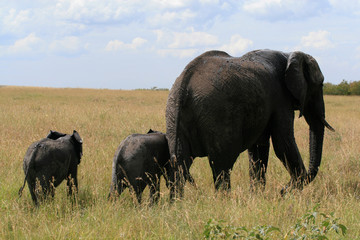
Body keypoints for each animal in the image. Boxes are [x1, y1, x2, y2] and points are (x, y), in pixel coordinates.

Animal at [166, 48, 334, 199]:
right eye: (320, 85)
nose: (282, 190)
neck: (288, 55)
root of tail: (184, 82)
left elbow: (259, 148)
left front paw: (257, 197)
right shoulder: (280, 98)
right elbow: (283, 144)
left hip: (173, 115)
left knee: (180, 165)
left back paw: (177, 203)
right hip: (218, 117)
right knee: (222, 165)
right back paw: (224, 202)